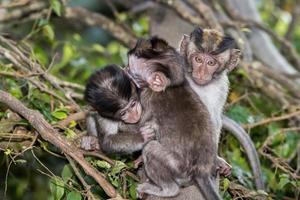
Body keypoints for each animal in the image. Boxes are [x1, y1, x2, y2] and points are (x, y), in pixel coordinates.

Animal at [126, 36, 220, 199]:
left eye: (131, 73)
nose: (123, 70)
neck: (171, 86)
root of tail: (201, 171)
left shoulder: (148, 99)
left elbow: (139, 126)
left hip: (178, 168)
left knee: (151, 148)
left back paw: (167, 190)